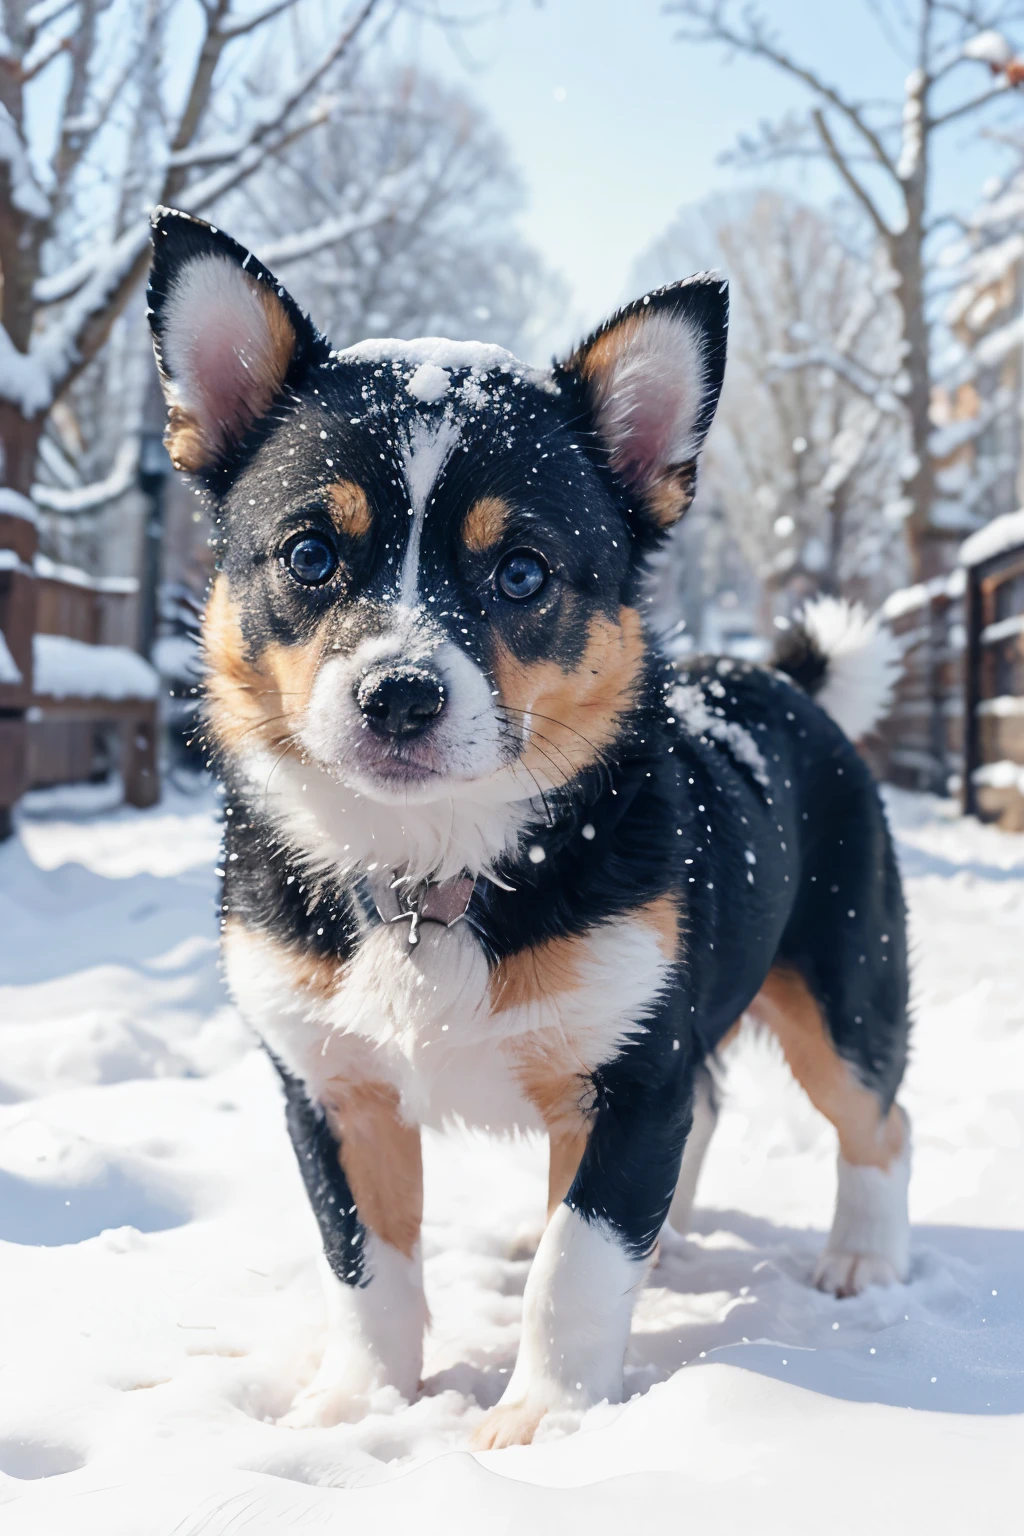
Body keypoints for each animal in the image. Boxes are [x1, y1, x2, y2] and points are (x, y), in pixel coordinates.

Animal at [145, 210, 914, 1443]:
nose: (399, 694)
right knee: (707, 1113)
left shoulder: (630, 1077)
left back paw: (863, 1261)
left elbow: (581, 1265)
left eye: (520, 571)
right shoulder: (330, 1090)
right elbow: (365, 1264)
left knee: (877, 1121)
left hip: (844, 980)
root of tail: (785, 682)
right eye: (310, 554)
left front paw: (544, 1426)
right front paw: (361, 1404)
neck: (428, 867)